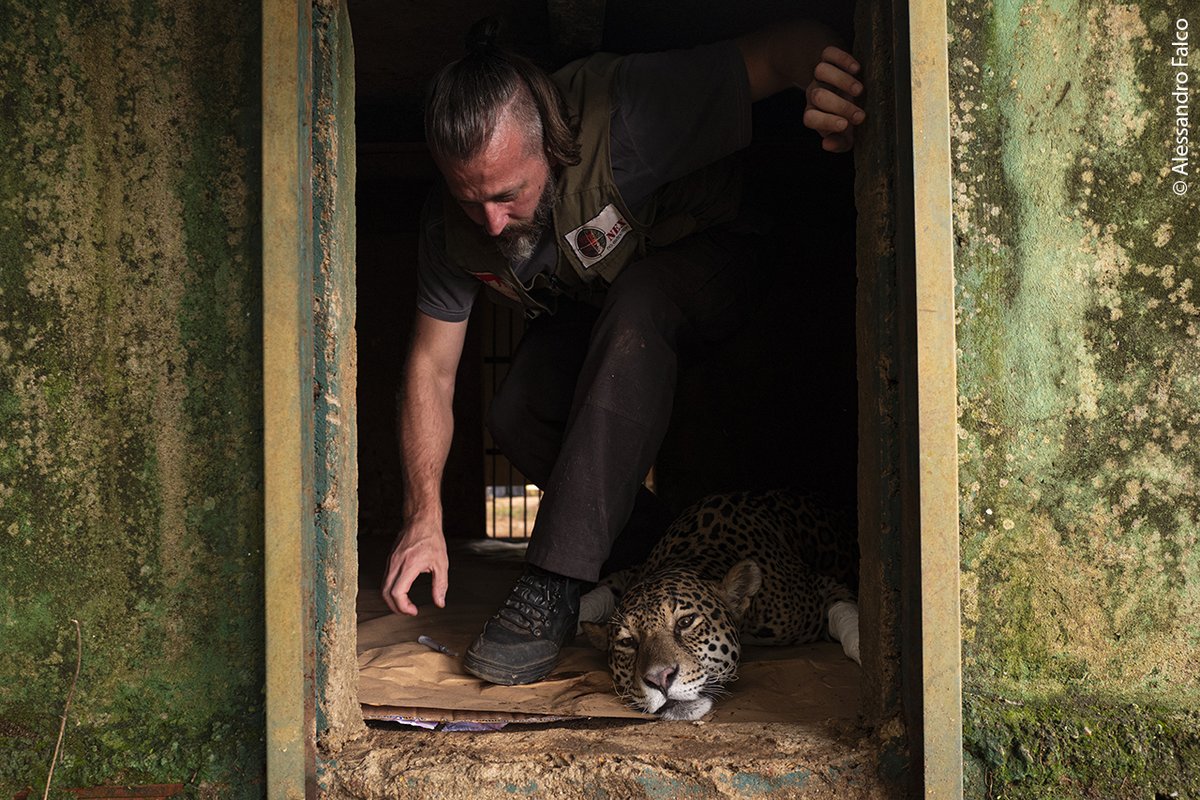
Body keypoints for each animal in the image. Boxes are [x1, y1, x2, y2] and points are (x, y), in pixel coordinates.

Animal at [581, 489, 859, 721]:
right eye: (628, 642)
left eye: (685, 622)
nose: (659, 679)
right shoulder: (630, 572)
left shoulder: (823, 587)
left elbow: (846, 613)